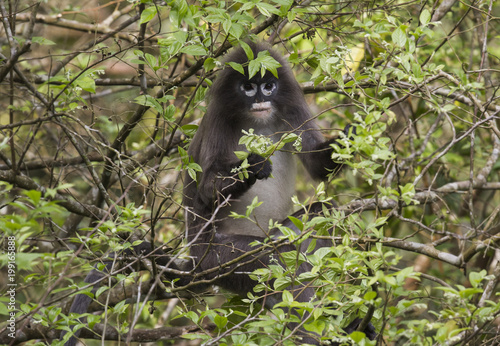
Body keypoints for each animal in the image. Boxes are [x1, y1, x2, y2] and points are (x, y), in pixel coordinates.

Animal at [61, 42, 376, 344]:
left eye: (268, 86)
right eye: (248, 87)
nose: (260, 99)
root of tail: (195, 263)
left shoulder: (292, 110)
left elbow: (316, 164)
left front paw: (352, 135)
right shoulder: (219, 119)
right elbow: (207, 190)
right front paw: (253, 165)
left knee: (322, 217)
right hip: (218, 257)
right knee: (277, 260)